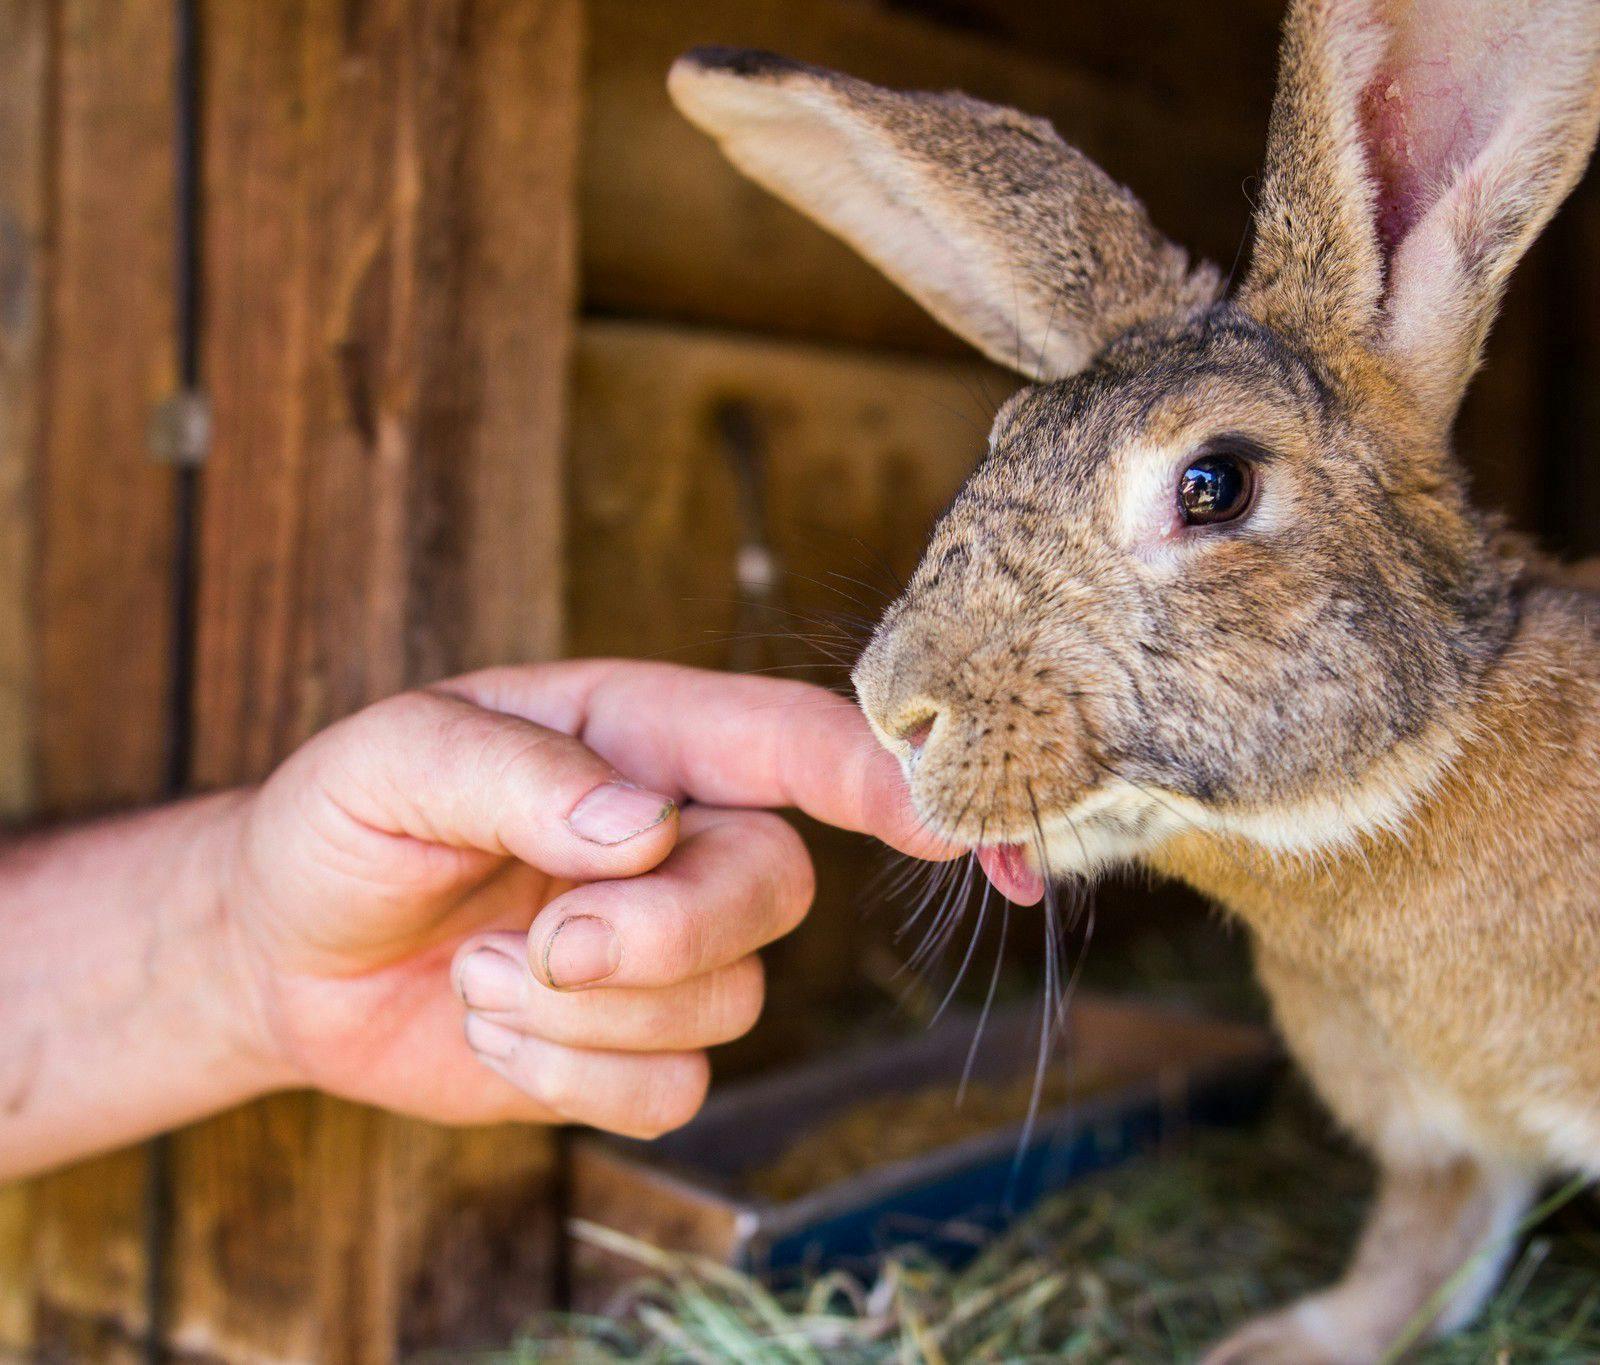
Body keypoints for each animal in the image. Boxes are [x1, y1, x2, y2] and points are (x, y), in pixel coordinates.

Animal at [668, 0, 1600, 1356]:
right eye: (999, 443)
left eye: (1214, 483)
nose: (896, 709)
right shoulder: (1439, 1142)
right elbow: (1419, 1244)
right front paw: (1279, 1344)